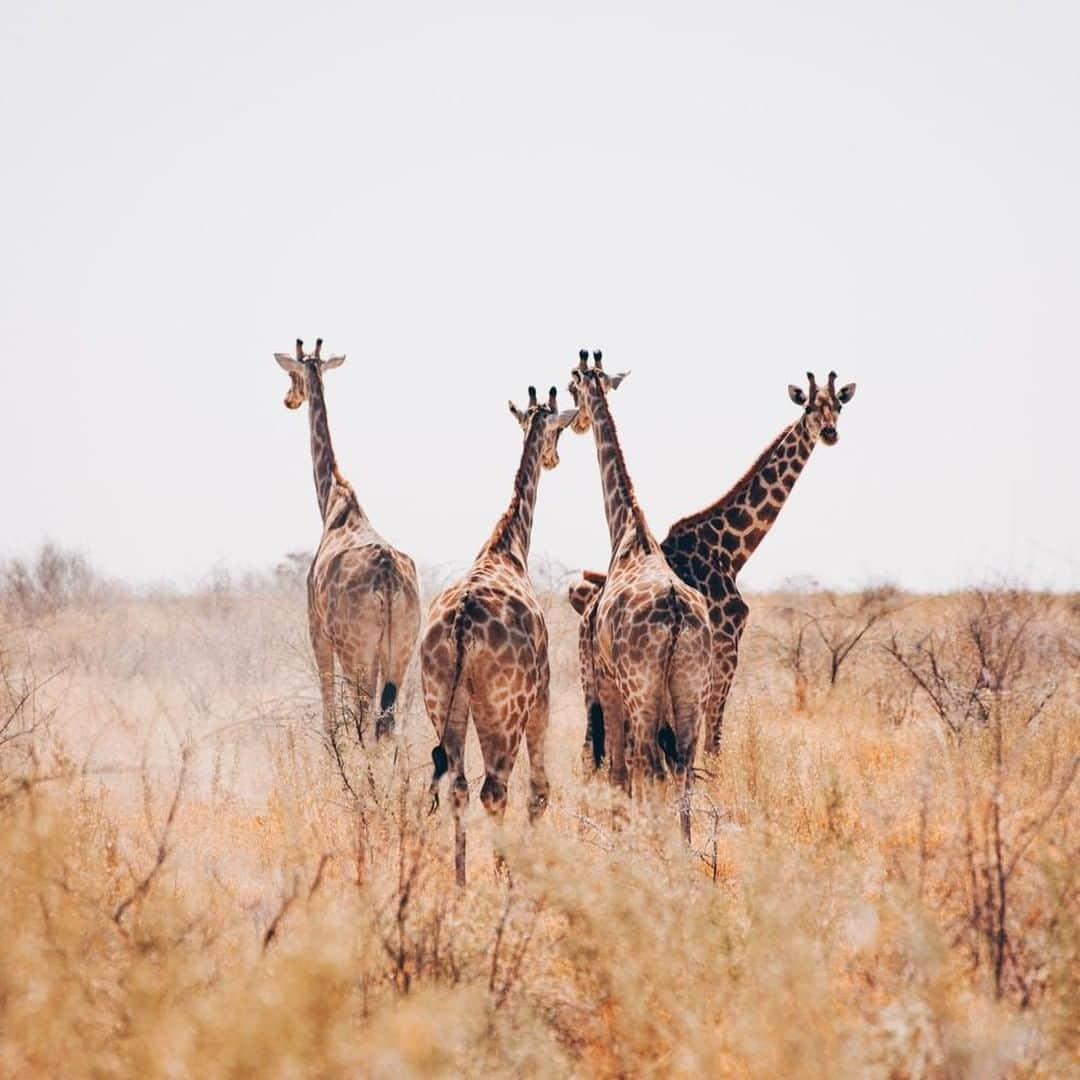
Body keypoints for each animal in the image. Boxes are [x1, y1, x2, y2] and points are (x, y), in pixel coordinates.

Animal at [272, 336, 419, 743]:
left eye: (292, 374)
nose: (289, 400)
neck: (334, 500)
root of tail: (388, 580)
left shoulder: (317, 631)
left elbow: (328, 707)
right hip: (401, 650)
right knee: (388, 724)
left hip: (358, 650)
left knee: (366, 717)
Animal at [421, 386, 578, 885]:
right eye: (561, 427)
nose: (554, 458)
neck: (507, 548)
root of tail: (462, 624)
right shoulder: (542, 689)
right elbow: (540, 788)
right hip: (502, 707)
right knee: (496, 788)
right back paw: (504, 879)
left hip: (442, 700)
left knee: (457, 784)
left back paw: (460, 882)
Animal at [570, 349, 712, 838]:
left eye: (571, 386)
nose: (576, 421)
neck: (628, 532)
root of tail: (676, 614)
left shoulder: (603, 679)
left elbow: (617, 769)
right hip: (692, 688)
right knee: (683, 765)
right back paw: (684, 849)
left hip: (640, 687)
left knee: (647, 762)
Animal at [570, 371, 855, 760]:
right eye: (810, 407)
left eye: (838, 406)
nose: (829, 432)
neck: (729, 549)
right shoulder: (725, 648)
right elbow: (711, 740)